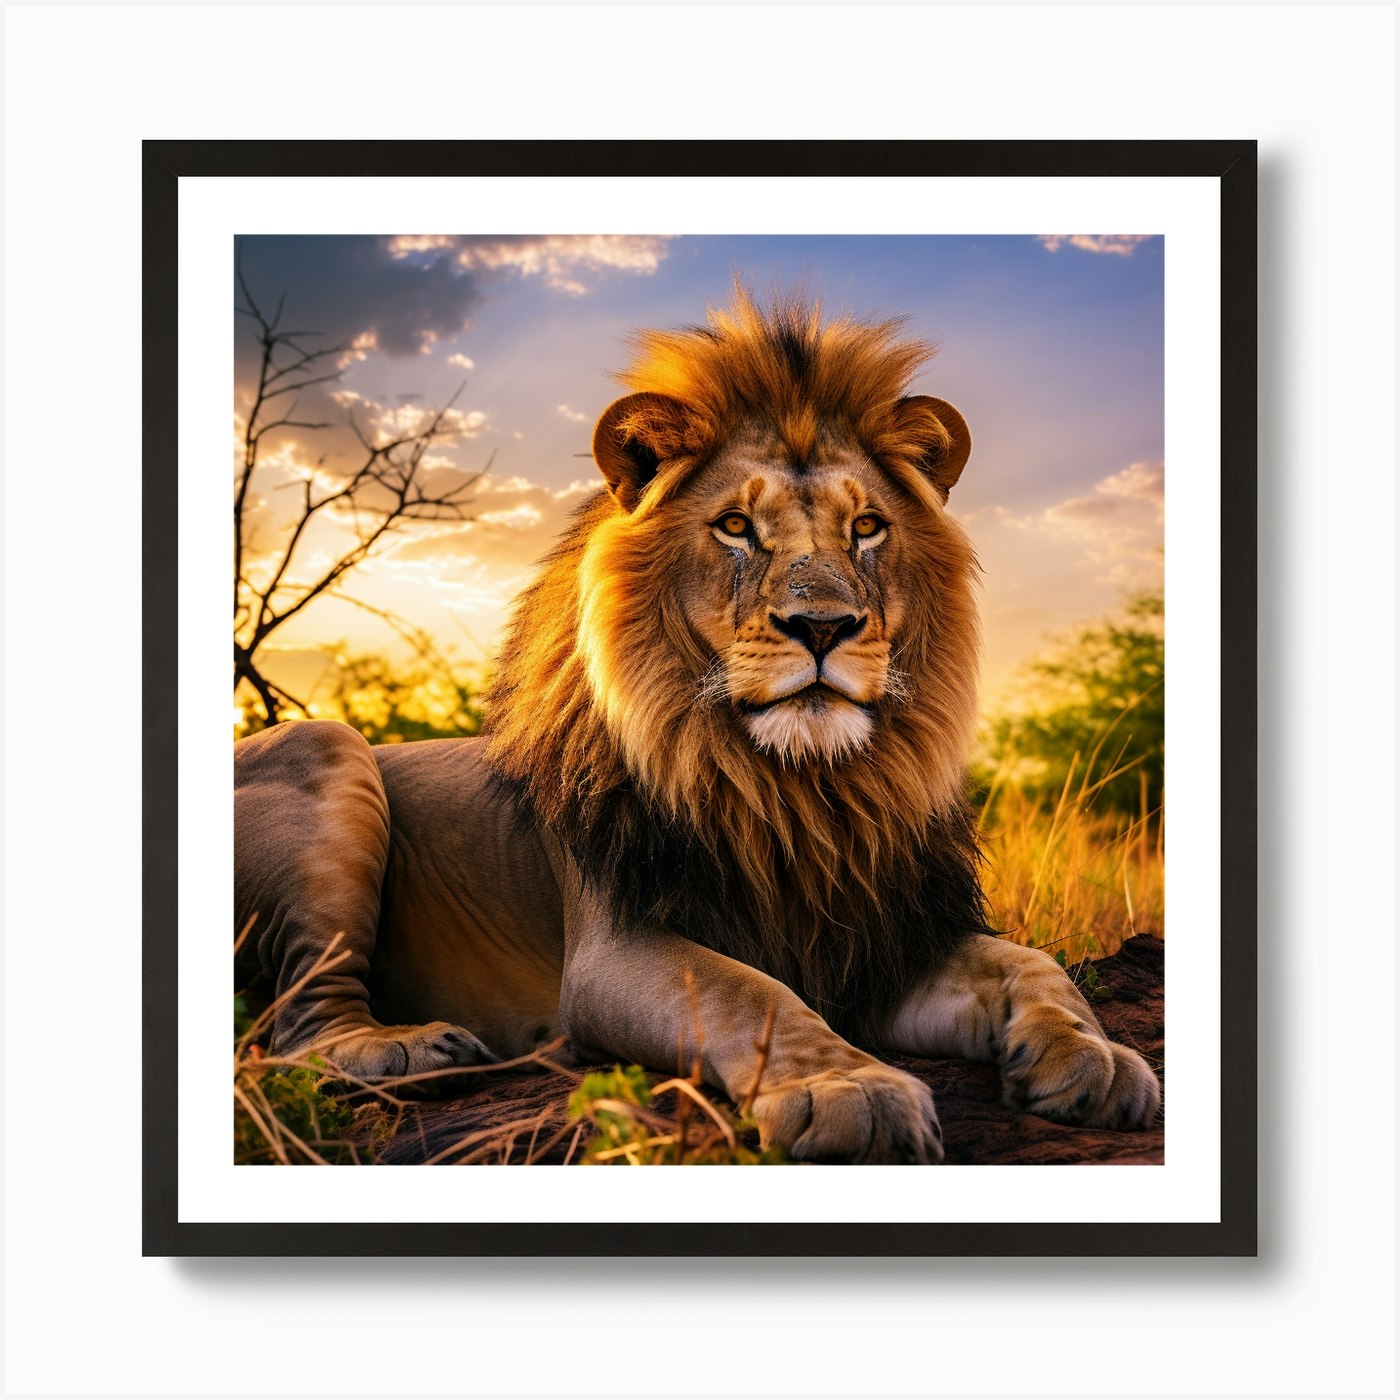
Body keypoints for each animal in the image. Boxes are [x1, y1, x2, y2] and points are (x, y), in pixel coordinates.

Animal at [234, 290, 1161, 1163]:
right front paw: (849, 1090)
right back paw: (416, 1050)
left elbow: (1032, 963)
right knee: (299, 1031)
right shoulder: (612, 948)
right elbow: (750, 995)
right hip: (324, 745)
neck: (801, 794)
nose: (823, 626)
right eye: (736, 527)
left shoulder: (881, 939)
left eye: (867, 528)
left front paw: (1095, 1058)